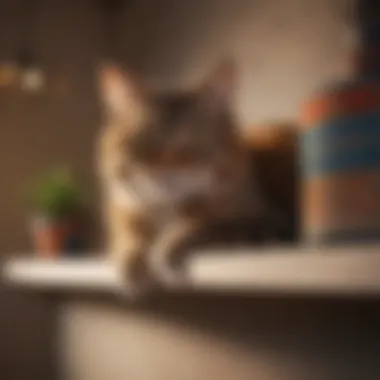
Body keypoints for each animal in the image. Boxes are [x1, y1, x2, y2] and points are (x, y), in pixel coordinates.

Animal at [96, 60, 284, 290]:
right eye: (144, 146)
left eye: (189, 146)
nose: (164, 174)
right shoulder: (124, 210)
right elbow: (129, 237)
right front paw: (133, 261)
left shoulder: (264, 221)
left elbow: (199, 223)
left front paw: (166, 245)